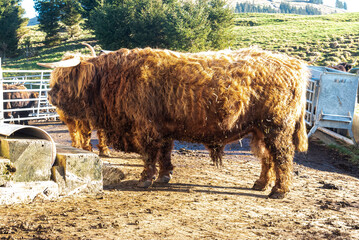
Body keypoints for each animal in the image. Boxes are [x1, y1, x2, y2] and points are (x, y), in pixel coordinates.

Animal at [38, 46, 310, 199]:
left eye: (62, 77)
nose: (50, 95)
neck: (115, 78)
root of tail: (295, 64)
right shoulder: (164, 128)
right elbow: (165, 153)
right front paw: (164, 176)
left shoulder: (145, 127)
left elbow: (149, 154)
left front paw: (145, 179)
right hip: (259, 129)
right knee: (267, 158)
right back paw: (260, 184)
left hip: (276, 127)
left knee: (282, 156)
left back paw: (279, 191)